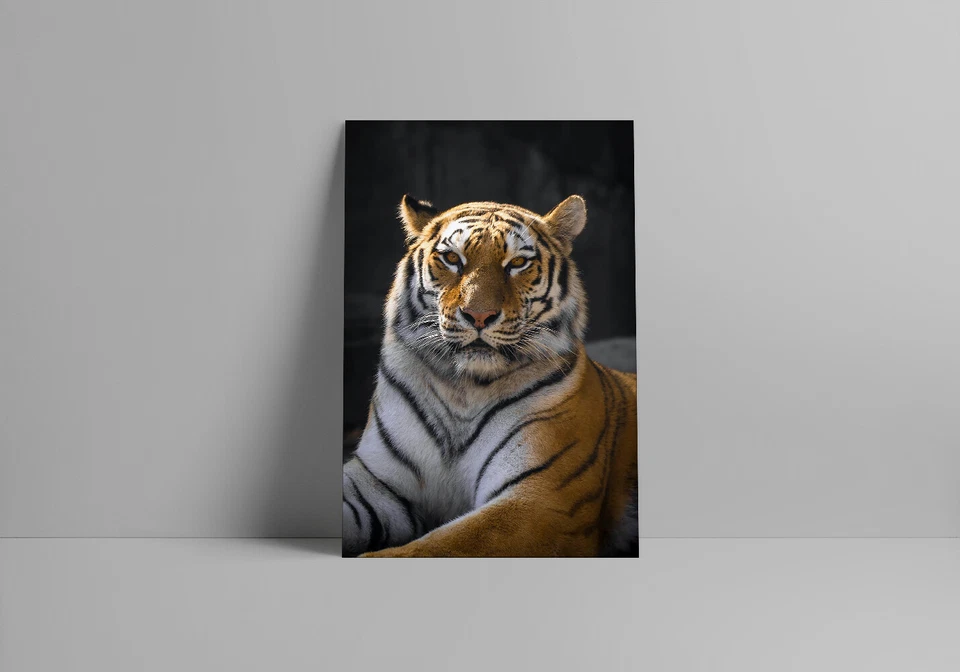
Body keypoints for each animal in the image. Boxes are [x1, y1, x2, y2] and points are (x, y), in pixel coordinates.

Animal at [342, 194, 638, 557]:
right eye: (452, 258)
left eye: (517, 263)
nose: (478, 315)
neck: (463, 389)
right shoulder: (375, 480)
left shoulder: (542, 500)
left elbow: (436, 547)